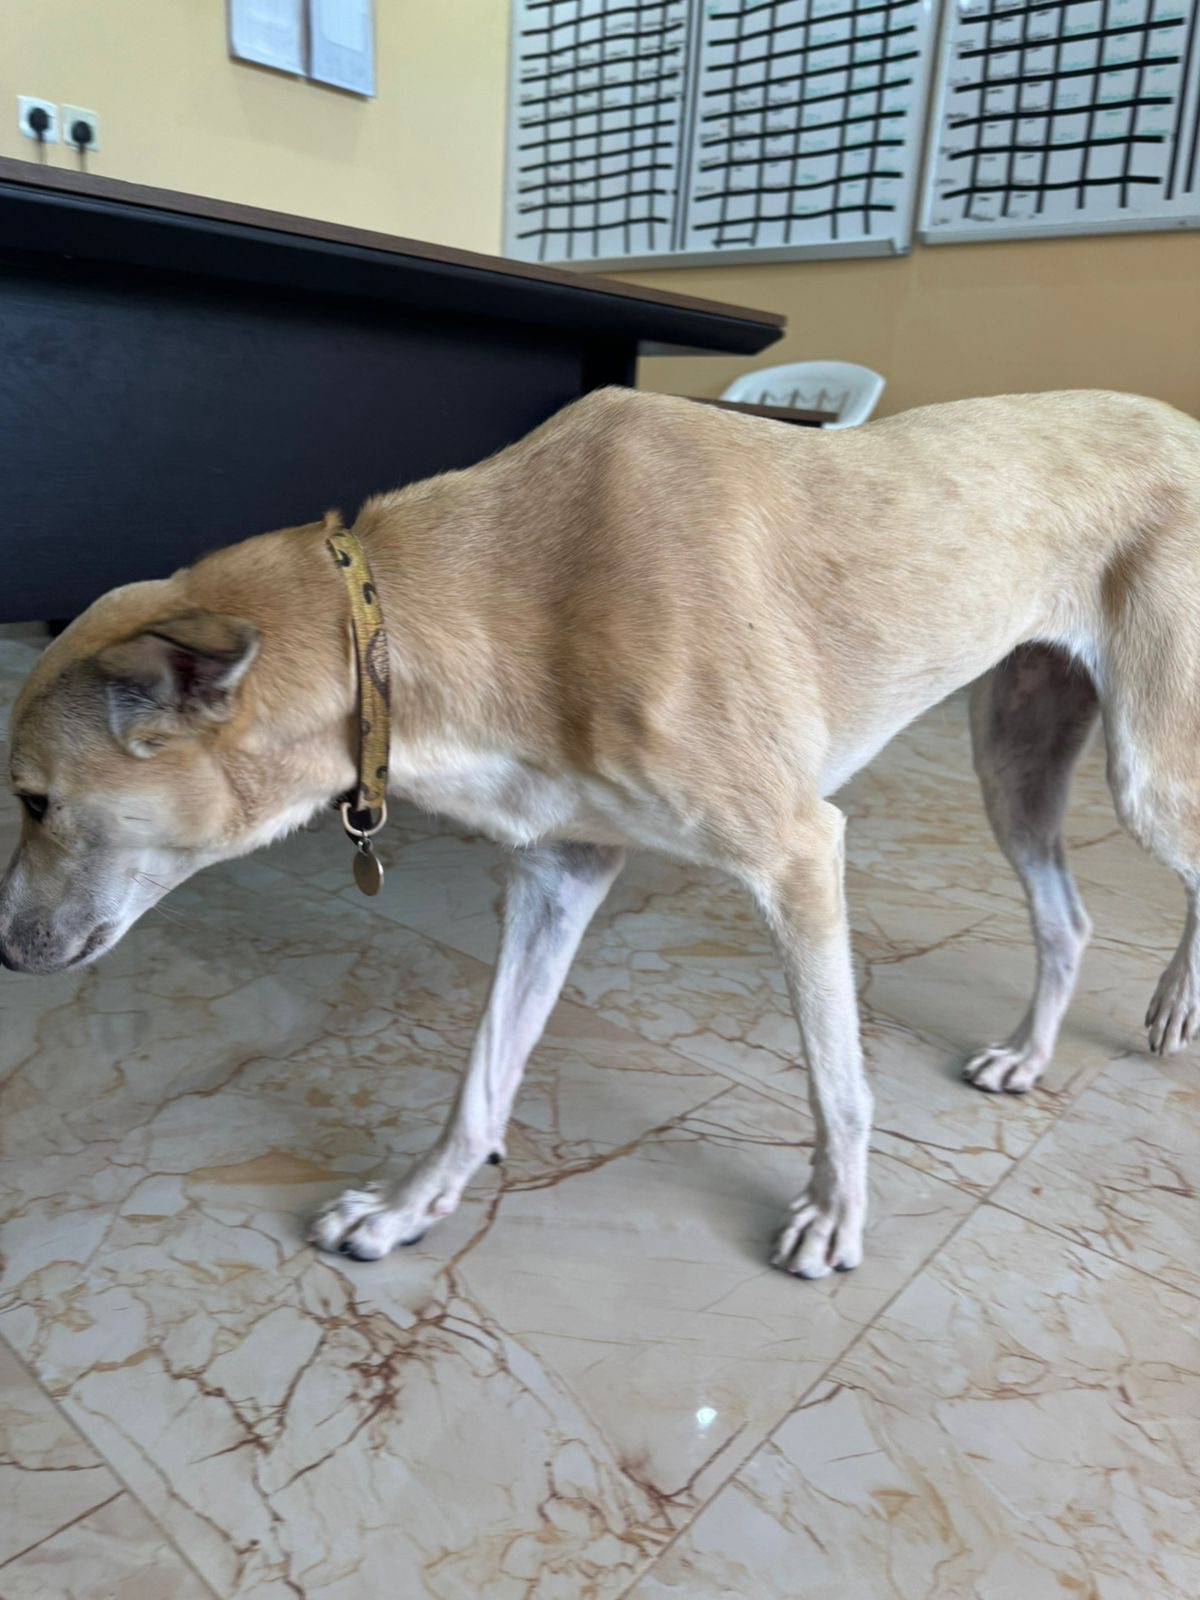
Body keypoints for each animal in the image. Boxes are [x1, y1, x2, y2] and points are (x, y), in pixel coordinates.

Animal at [3, 387, 1199, 1276]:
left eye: (33, 801)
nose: (6, 950)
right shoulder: (560, 869)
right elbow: (482, 1075)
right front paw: (409, 1207)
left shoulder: (800, 852)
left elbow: (839, 1082)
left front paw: (836, 1214)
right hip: (1015, 757)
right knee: (1070, 918)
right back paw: (1031, 1051)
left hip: (1148, 770)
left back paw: (1176, 1001)